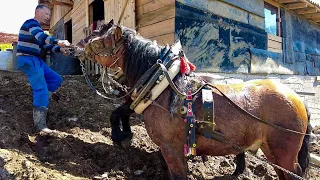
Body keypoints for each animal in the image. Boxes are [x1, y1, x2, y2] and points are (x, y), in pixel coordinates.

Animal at [74, 20, 310, 179]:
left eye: (97, 41)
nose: (74, 46)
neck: (163, 85)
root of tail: (296, 98)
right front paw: (122, 136)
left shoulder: (171, 148)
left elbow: (179, 174)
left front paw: (121, 136)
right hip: (272, 151)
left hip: (284, 152)